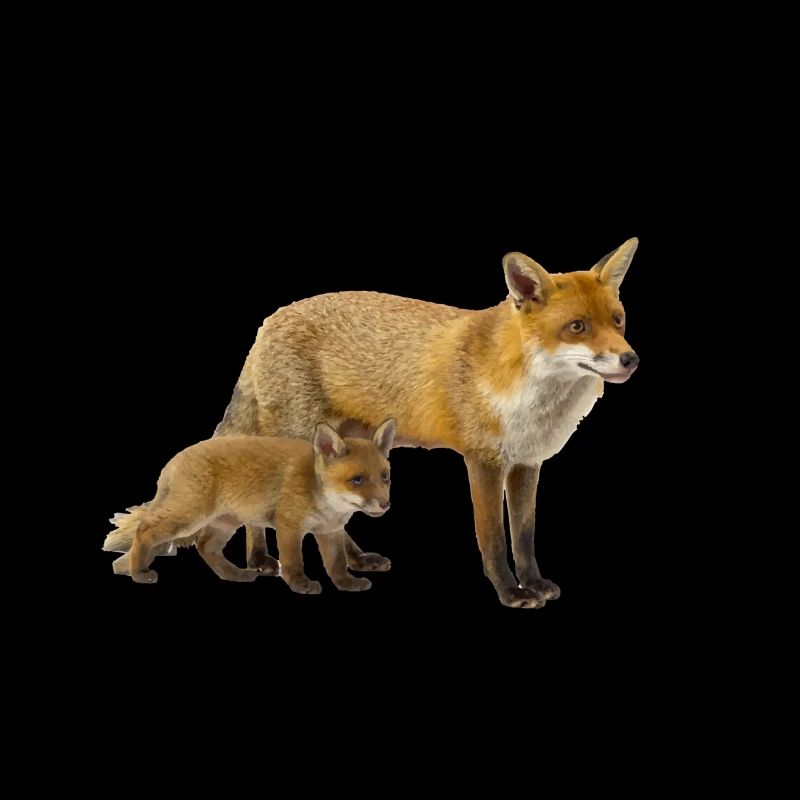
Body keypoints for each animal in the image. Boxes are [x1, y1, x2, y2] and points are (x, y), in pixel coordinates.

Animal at [103, 419, 397, 593]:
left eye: (384, 477)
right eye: (357, 480)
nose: (385, 504)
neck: (323, 498)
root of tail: (174, 459)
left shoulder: (329, 531)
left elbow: (336, 564)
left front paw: (347, 584)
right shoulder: (288, 526)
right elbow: (293, 561)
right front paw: (300, 584)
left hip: (225, 522)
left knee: (205, 547)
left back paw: (235, 575)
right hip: (188, 517)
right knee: (144, 530)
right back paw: (139, 572)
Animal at [175, 238, 640, 608]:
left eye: (617, 321)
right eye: (577, 327)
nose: (630, 359)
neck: (525, 390)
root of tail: (269, 320)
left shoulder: (526, 463)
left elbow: (524, 536)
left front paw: (534, 583)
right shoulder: (483, 461)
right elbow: (492, 537)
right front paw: (510, 592)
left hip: (348, 444)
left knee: (333, 516)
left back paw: (352, 560)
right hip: (297, 438)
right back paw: (259, 559)